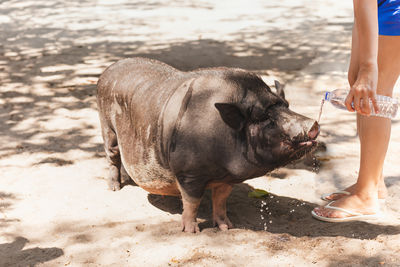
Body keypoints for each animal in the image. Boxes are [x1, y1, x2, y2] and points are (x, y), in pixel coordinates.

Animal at [96, 58, 318, 232]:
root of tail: (107, 71)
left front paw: (227, 227)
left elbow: (221, 200)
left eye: (287, 106)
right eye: (265, 118)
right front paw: (191, 231)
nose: (313, 123)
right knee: (112, 156)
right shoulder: (188, 173)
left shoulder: (227, 178)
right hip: (107, 126)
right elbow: (192, 202)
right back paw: (114, 188)